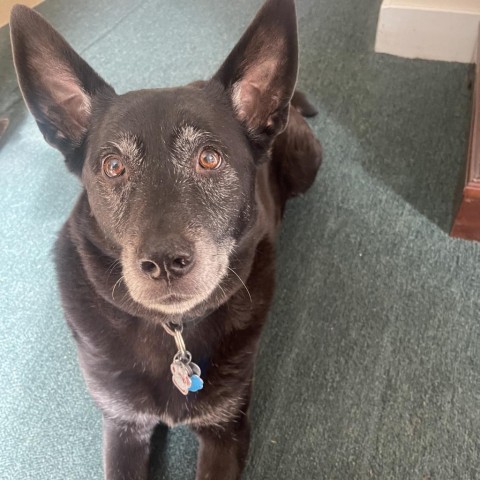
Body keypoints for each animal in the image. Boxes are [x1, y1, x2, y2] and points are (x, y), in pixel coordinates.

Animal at [9, 1, 320, 478]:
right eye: (114, 166)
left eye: (209, 158)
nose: (164, 263)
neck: (173, 330)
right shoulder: (123, 426)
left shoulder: (227, 430)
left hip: (308, 163)